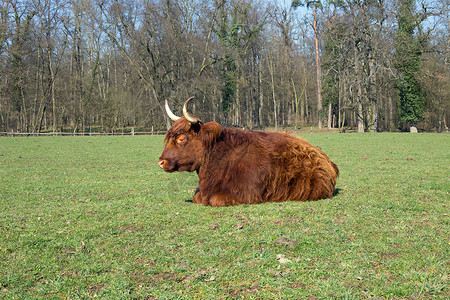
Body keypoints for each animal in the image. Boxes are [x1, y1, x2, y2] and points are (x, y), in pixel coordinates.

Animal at [158, 98, 338, 206]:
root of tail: (328, 161)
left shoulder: (247, 193)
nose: (161, 161)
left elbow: (215, 199)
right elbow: (197, 198)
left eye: (182, 139)